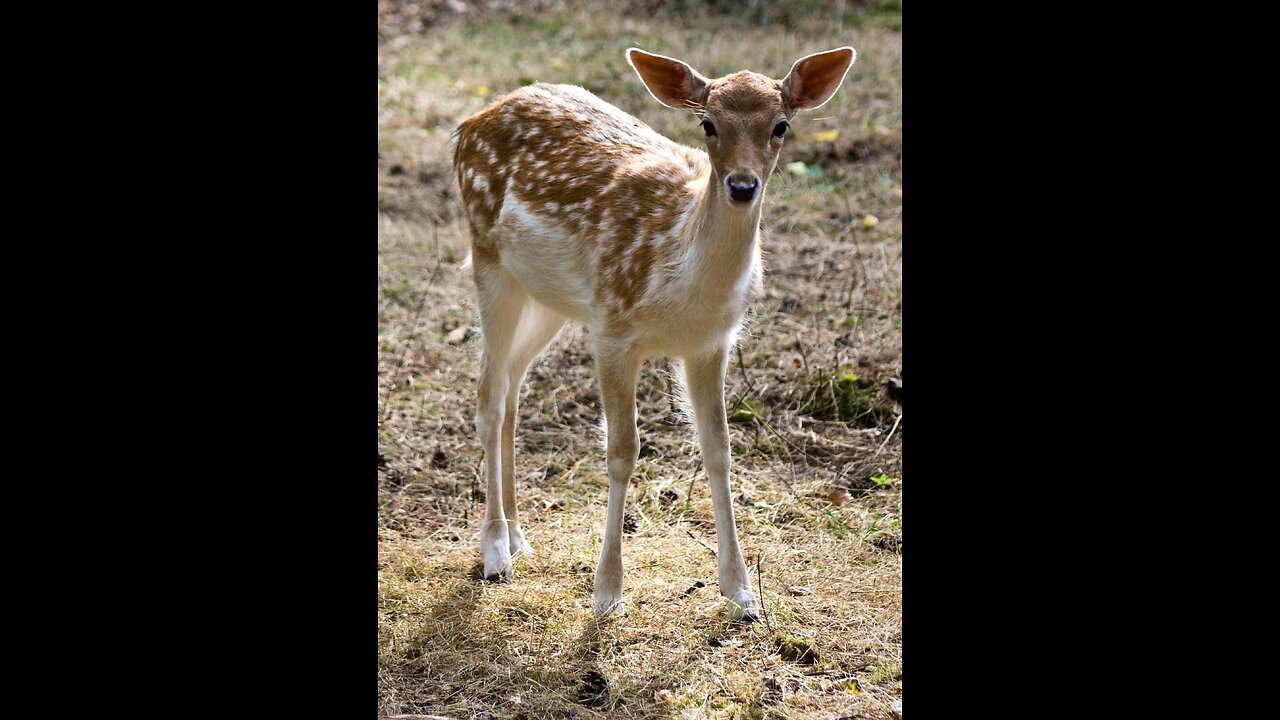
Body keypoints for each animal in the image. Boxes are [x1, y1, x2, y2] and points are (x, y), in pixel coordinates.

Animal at [453, 44, 860, 620]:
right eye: (708, 123)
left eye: (781, 125)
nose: (742, 187)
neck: (682, 283)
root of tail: (470, 122)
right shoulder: (612, 328)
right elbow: (623, 451)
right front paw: (607, 593)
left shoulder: (711, 342)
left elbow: (719, 448)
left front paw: (742, 593)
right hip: (488, 258)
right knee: (489, 394)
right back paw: (494, 554)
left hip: (548, 298)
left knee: (511, 388)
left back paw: (518, 538)